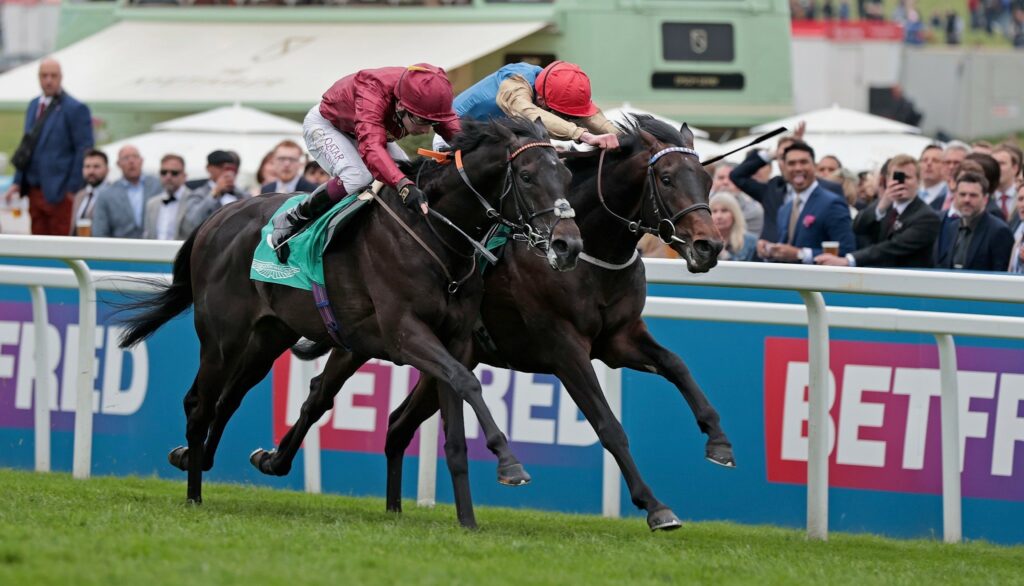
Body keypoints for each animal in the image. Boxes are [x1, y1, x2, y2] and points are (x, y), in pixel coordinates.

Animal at [116, 117, 581, 504]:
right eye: (526, 176)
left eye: (567, 175)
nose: (569, 245)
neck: (433, 231)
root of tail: (216, 217)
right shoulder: (404, 332)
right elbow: (465, 381)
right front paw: (509, 462)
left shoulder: (455, 337)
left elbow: (457, 386)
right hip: (221, 337)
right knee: (199, 403)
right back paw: (194, 492)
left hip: (268, 336)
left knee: (228, 398)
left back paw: (197, 460)